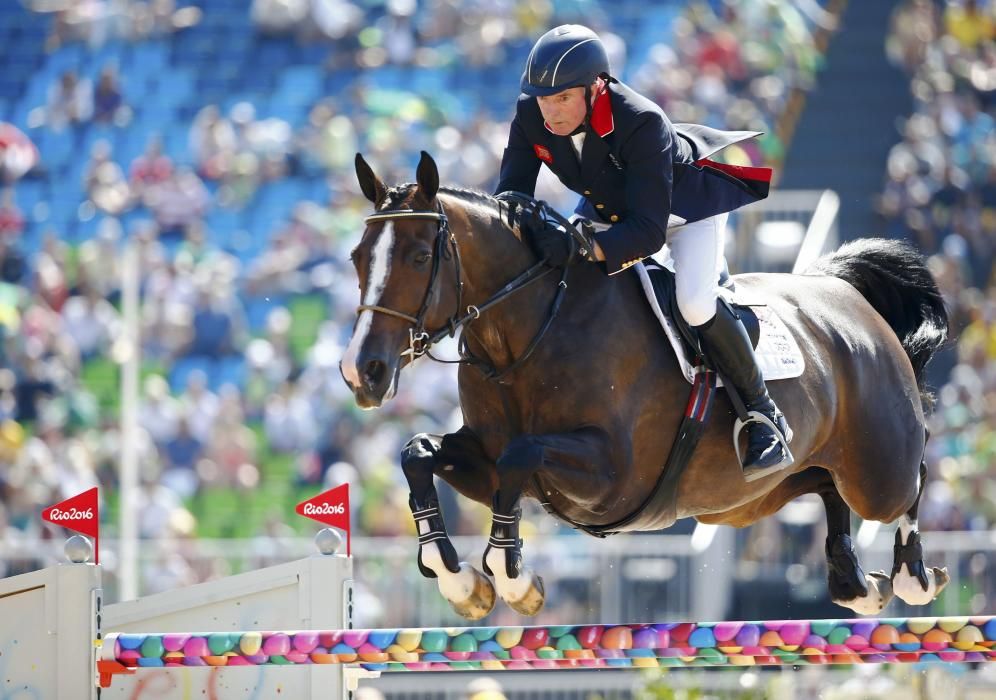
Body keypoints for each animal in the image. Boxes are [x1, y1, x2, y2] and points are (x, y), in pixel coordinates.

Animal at [340, 152, 948, 616]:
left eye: (421, 256)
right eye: (357, 257)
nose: (361, 372)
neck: (531, 331)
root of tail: (845, 296)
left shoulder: (611, 474)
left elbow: (521, 455)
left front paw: (511, 577)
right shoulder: (484, 459)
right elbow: (419, 454)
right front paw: (460, 580)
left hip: (876, 467)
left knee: (910, 477)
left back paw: (914, 576)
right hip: (756, 496)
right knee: (826, 486)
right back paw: (857, 584)